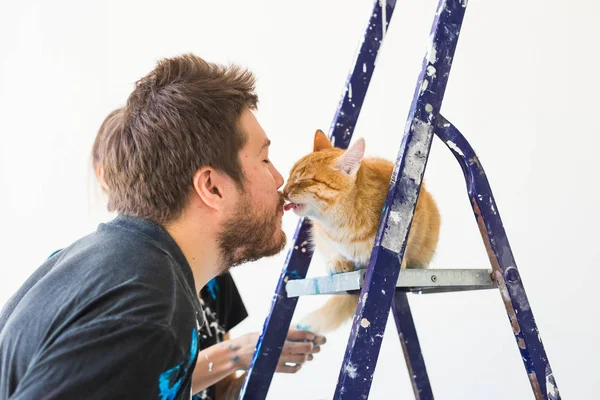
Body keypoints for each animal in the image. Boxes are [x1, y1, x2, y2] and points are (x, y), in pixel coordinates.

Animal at [282, 130, 440, 332]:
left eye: (303, 180)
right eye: (289, 177)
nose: (283, 191)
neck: (341, 224)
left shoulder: (414, 213)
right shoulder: (321, 236)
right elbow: (331, 249)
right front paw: (338, 261)